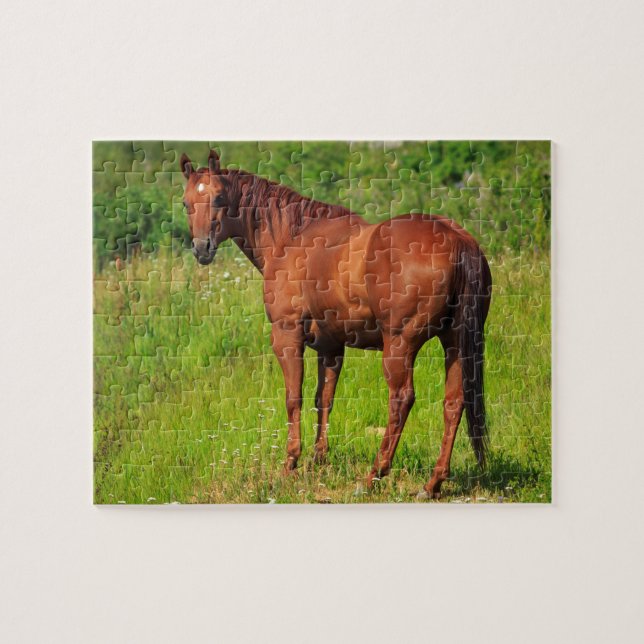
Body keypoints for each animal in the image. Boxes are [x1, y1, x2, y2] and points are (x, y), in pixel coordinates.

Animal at [180, 149, 492, 499]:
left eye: (219, 197)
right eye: (186, 202)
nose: (202, 248)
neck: (292, 238)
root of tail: (457, 241)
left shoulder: (286, 337)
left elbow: (294, 397)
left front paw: (291, 462)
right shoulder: (330, 346)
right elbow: (323, 398)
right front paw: (318, 458)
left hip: (400, 344)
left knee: (402, 399)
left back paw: (374, 475)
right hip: (454, 343)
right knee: (455, 402)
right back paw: (432, 482)